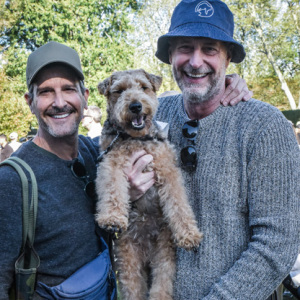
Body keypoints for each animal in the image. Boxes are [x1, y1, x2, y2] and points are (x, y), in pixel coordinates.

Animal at [95, 68, 204, 300]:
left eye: (144, 87)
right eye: (118, 91)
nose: (135, 105)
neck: (137, 138)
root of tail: (146, 248)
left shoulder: (167, 169)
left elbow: (179, 204)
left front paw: (189, 234)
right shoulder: (110, 163)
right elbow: (113, 190)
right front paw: (112, 218)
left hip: (164, 256)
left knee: (161, 287)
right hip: (127, 261)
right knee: (134, 289)